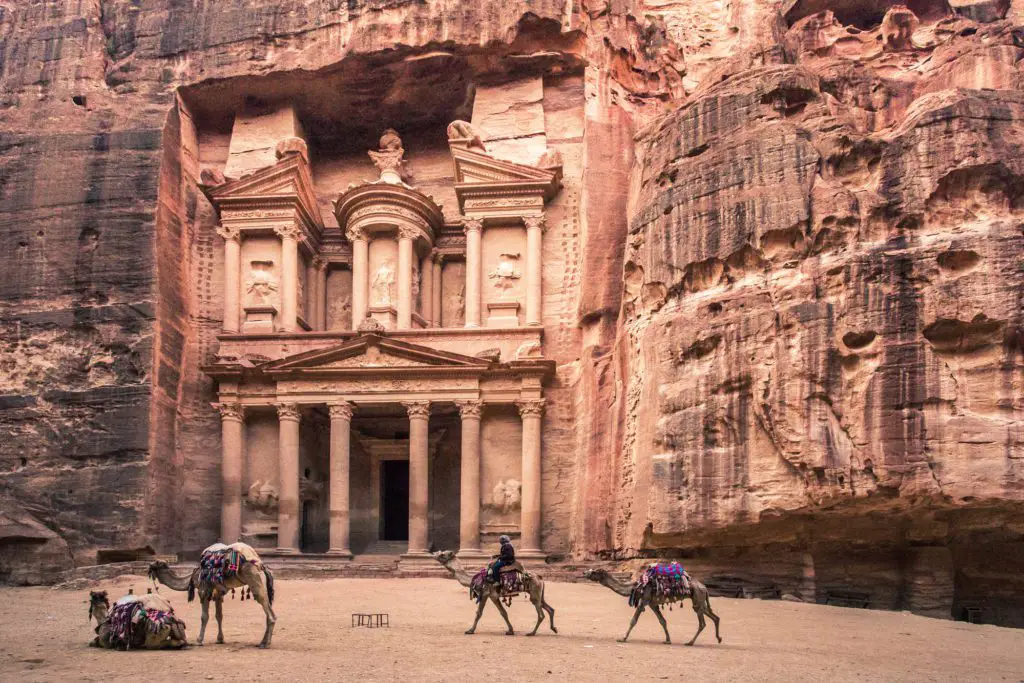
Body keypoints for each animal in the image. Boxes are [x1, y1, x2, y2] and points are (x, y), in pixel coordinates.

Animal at [147, 540, 276, 651]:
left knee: (269, 613)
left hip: (254, 577)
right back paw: (263, 642)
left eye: (156, 563)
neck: (194, 576)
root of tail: (262, 565)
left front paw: (199, 640)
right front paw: (220, 639)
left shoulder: (204, 590)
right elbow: (219, 615)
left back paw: (265, 644)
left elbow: (204, 616)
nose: (149, 565)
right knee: (268, 611)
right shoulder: (218, 593)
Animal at [585, 569, 720, 651]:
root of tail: (705, 588)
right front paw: (667, 640)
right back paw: (719, 638)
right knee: (715, 617)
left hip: (698, 597)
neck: (634, 586)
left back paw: (690, 642)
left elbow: (633, 620)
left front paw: (623, 638)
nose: (585, 572)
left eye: (594, 572)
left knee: (702, 623)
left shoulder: (643, 601)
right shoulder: (652, 604)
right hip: (700, 600)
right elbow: (662, 621)